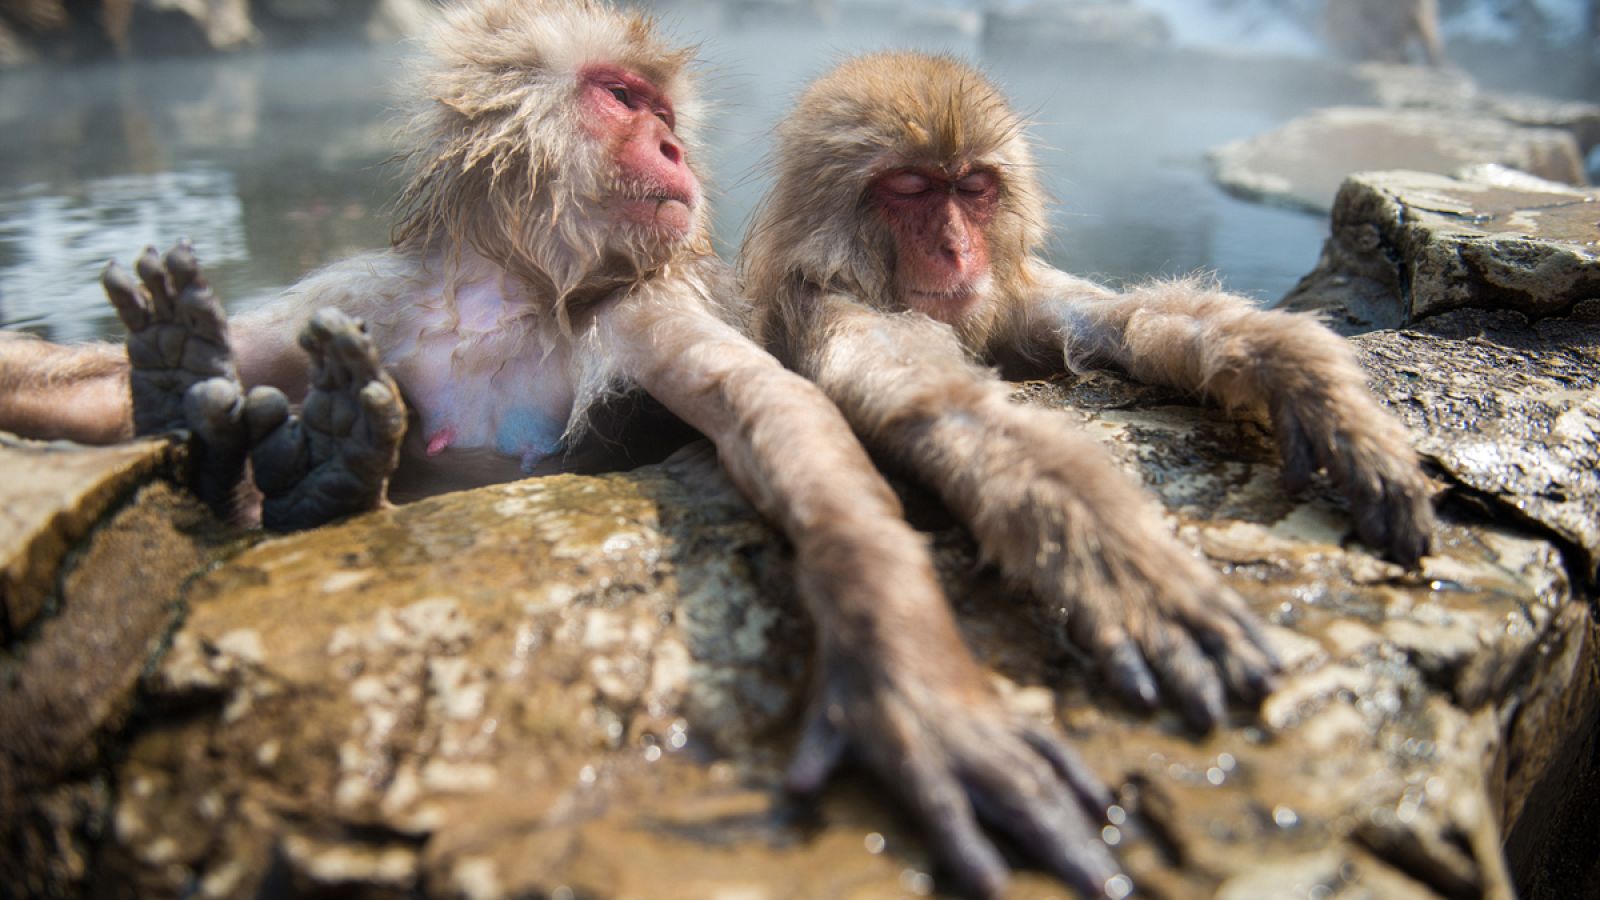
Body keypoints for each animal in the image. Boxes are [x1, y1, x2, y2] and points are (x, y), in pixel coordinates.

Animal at [0, 5, 1130, 897]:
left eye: (665, 116)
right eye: (623, 99)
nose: (672, 149)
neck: (508, 293)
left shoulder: (645, 308)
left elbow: (783, 414)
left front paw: (909, 681)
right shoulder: (366, 294)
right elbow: (88, 392)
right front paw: (152, 376)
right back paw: (245, 423)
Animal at [743, 50, 1434, 740]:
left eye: (972, 188)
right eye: (910, 188)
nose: (955, 249)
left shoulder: (1011, 299)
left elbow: (1128, 322)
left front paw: (1307, 380)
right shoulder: (833, 308)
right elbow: (957, 413)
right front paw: (1122, 566)